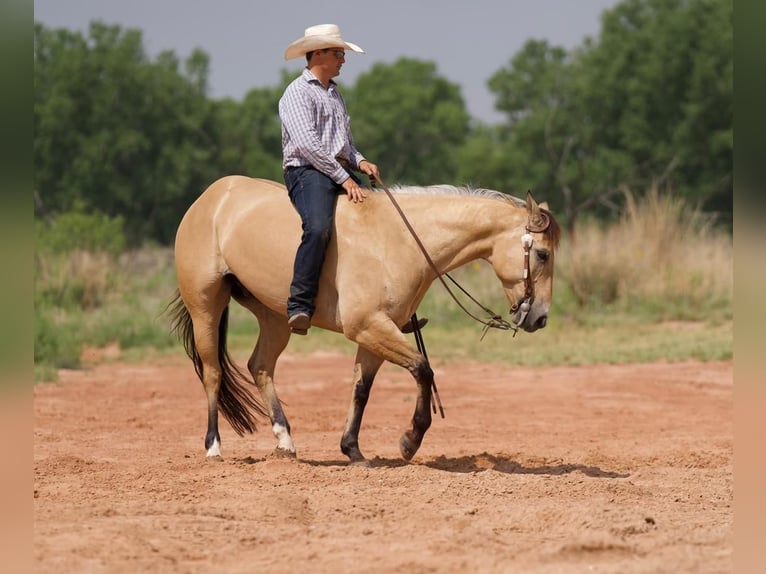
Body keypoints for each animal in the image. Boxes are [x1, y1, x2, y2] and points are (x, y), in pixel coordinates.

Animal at [168, 177, 560, 468]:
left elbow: (362, 388)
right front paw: (409, 441)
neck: (401, 241)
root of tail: (210, 197)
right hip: (205, 306)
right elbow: (422, 369)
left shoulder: (376, 332)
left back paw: (286, 442)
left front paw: (353, 450)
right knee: (213, 372)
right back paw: (213, 448)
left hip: (274, 317)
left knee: (260, 366)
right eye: (542, 254)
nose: (540, 318)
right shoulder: (368, 327)